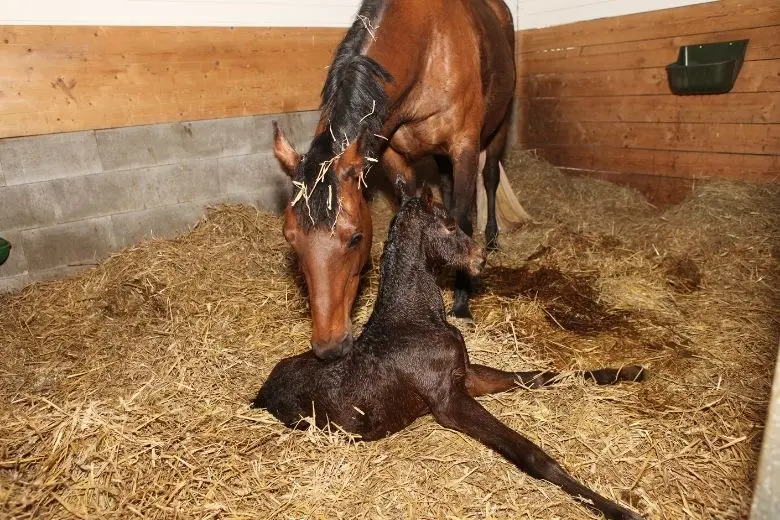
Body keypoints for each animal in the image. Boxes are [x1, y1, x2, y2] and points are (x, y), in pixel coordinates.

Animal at [254, 188, 644, 520]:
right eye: (452, 225)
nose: (481, 257)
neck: (412, 321)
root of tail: (262, 394)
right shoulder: (448, 402)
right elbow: (532, 454)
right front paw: (619, 510)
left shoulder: (466, 377)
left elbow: (539, 376)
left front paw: (627, 372)